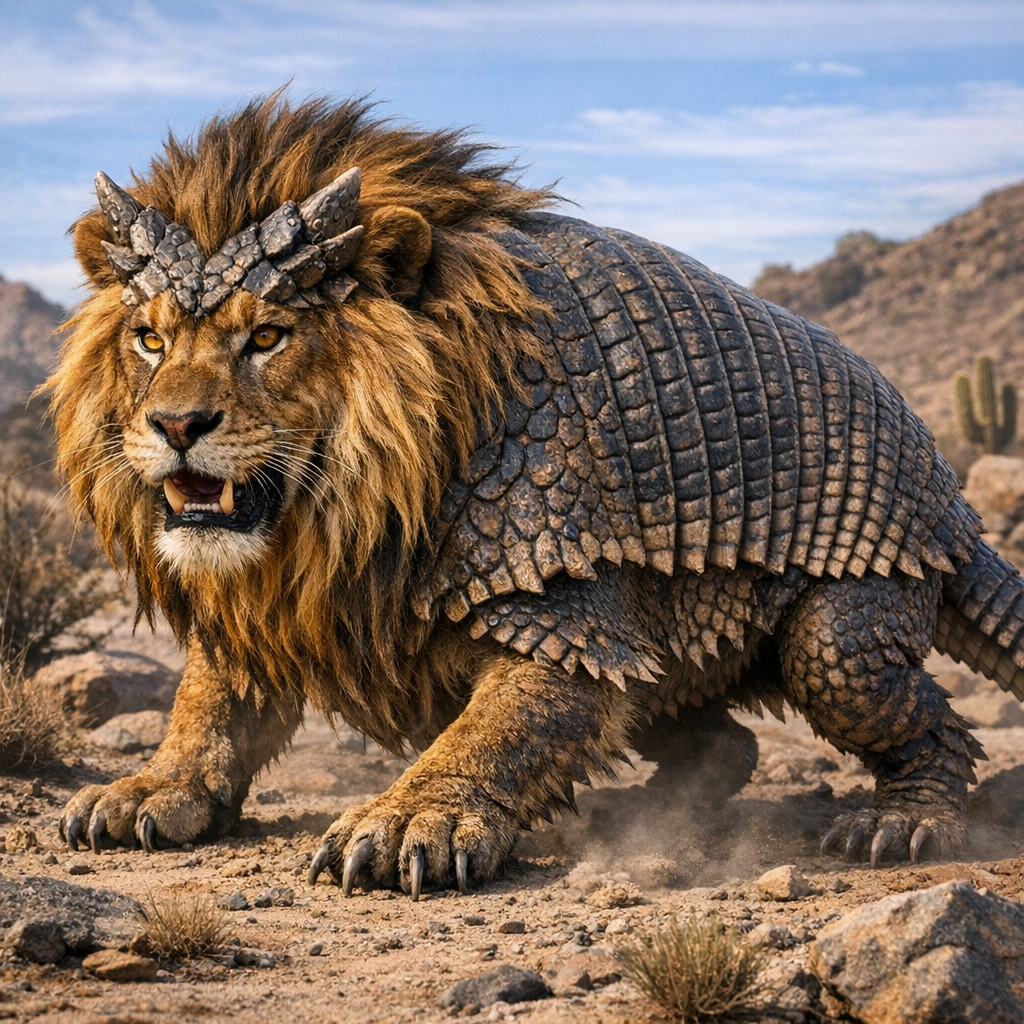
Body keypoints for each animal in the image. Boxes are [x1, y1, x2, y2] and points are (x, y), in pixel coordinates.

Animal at [50, 93, 1024, 898]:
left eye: (268, 337)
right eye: (148, 339)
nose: (176, 424)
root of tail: (951, 508)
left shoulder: (557, 601)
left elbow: (498, 730)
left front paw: (407, 821)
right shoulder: (270, 602)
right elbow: (209, 702)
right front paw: (149, 791)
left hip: (849, 615)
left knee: (907, 711)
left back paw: (901, 824)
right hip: (669, 649)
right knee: (724, 740)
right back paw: (649, 810)